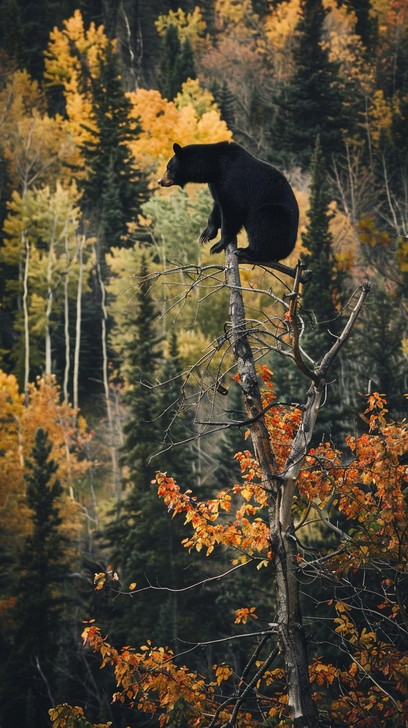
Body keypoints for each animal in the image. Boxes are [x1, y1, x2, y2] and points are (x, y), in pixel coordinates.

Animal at [158, 141, 299, 263]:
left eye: (169, 168)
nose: (160, 181)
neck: (214, 167)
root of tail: (289, 249)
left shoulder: (233, 179)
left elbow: (232, 209)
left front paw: (217, 245)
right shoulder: (216, 184)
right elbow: (218, 205)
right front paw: (206, 234)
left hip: (274, 212)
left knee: (263, 225)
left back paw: (247, 251)